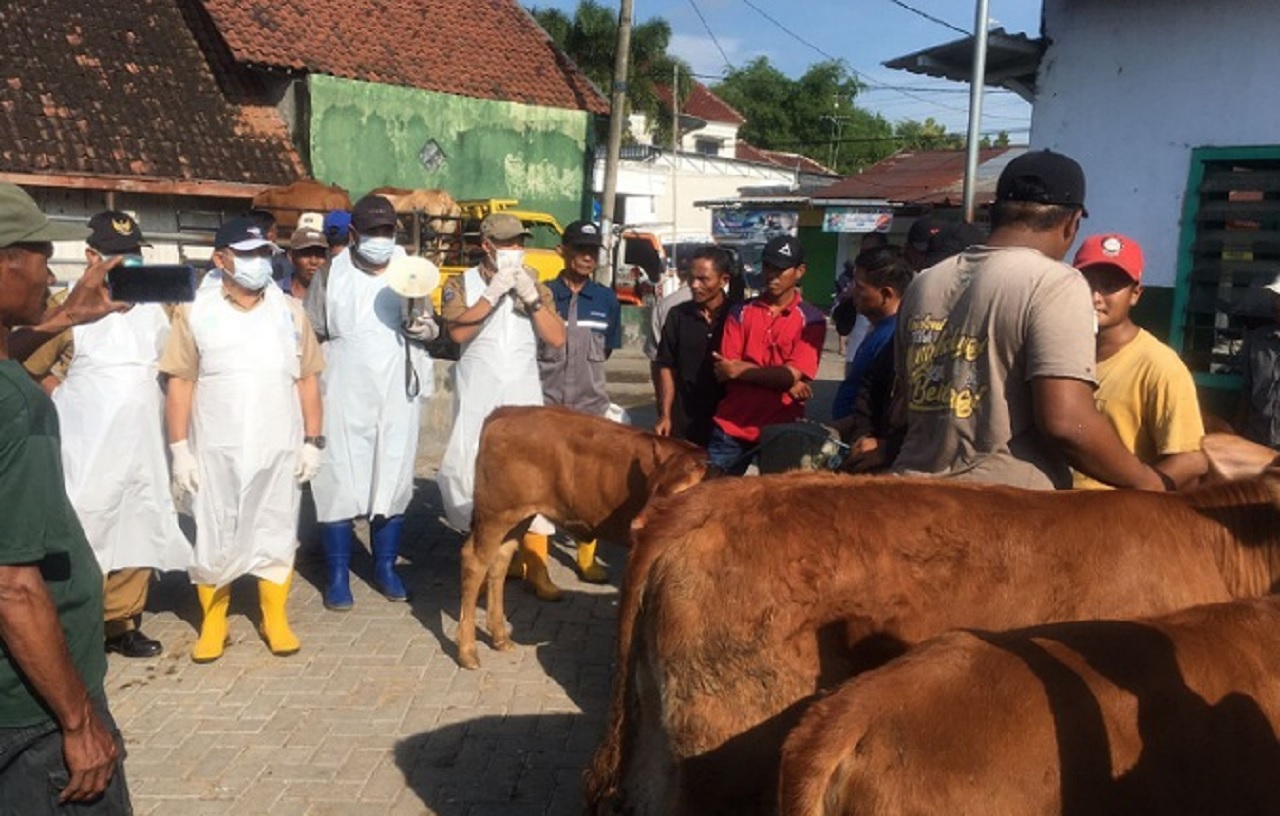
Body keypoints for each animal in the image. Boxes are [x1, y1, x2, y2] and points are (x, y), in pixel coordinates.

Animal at [453, 406, 716, 670]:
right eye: (651, 488)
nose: (638, 525)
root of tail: (506, 411)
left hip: (518, 516)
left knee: (500, 561)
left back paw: (499, 637)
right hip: (495, 514)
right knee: (474, 561)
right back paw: (467, 651)